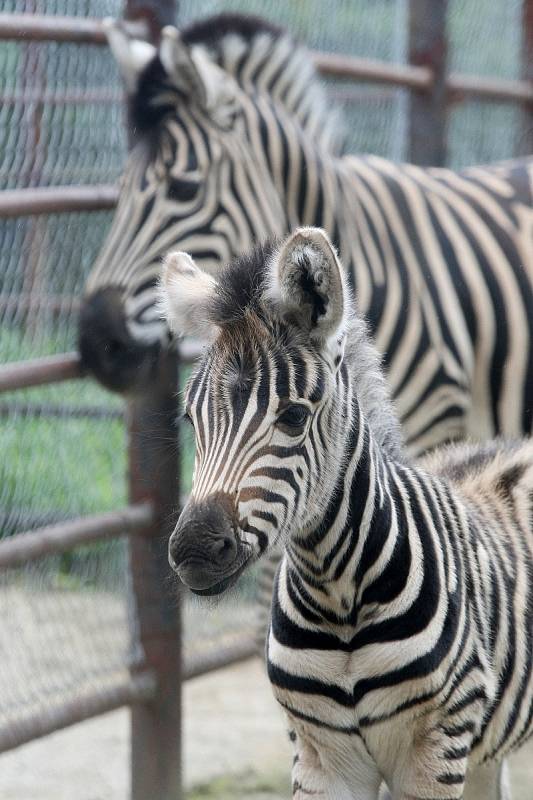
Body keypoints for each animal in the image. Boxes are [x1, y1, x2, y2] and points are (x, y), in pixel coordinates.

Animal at [156, 227, 528, 800]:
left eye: (293, 418)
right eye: (191, 420)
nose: (195, 548)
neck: (337, 594)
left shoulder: (433, 750)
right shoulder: (321, 754)